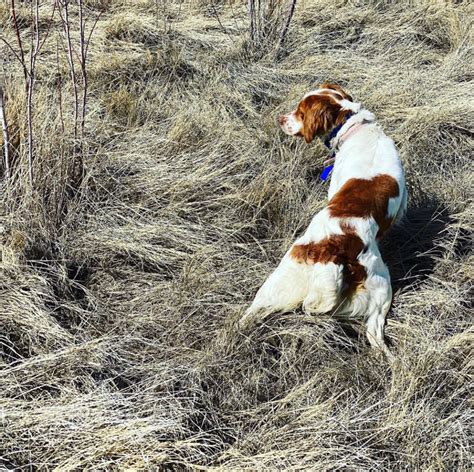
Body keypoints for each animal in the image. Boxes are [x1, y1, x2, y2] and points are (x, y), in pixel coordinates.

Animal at [241, 83, 408, 356]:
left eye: (300, 113)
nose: (280, 119)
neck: (354, 126)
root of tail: (335, 252)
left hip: (282, 278)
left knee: (254, 309)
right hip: (381, 290)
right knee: (375, 335)